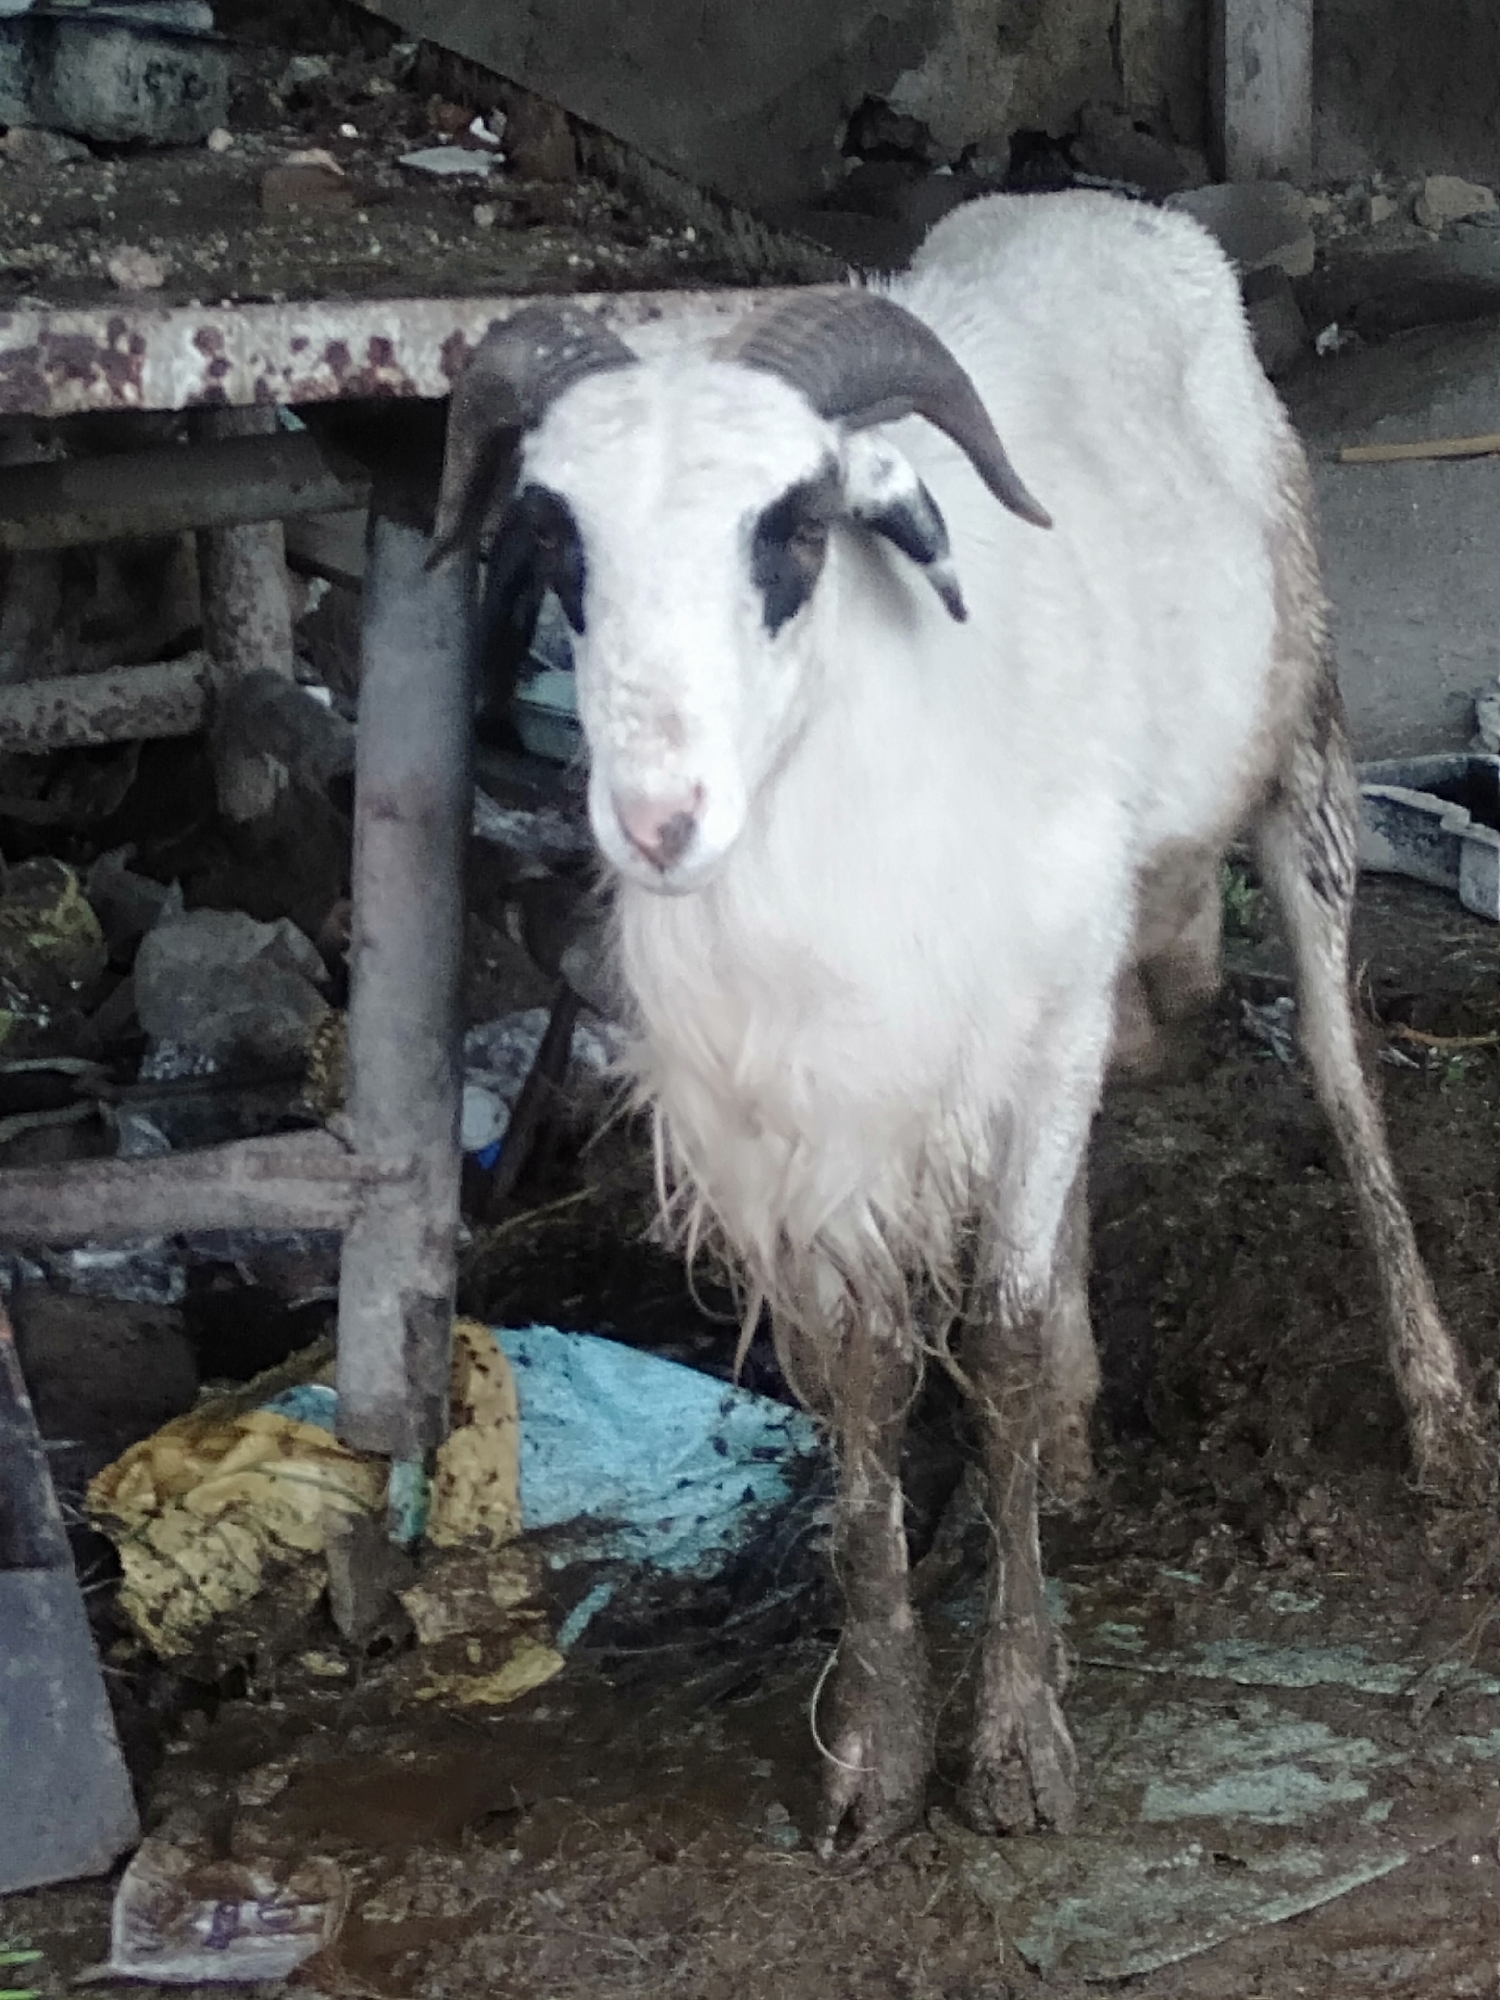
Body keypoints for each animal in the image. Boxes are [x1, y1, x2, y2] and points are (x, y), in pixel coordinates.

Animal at [434, 189, 1492, 1854]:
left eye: (795, 529)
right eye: (555, 538)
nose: (658, 822)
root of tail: (1096, 204)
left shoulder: (1030, 1020)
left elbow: (988, 1340)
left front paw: (1016, 1743)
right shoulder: (801, 1115)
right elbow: (860, 1379)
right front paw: (876, 1754)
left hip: (1300, 752)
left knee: (1341, 1082)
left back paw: (1438, 1420)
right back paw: (1070, 1436)